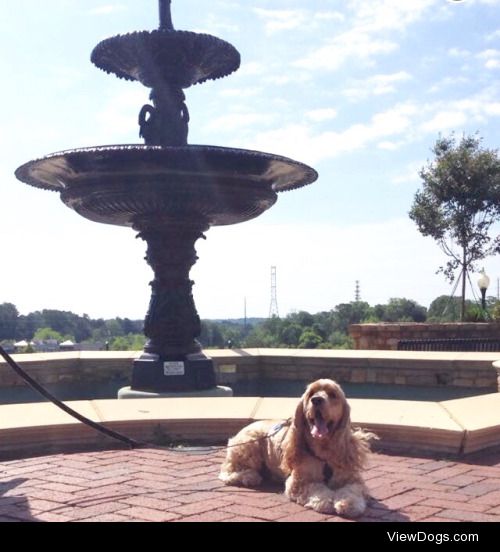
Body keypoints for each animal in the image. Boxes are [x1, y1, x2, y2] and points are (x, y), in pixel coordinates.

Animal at [219, 378, 376, 520]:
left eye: (333, 394)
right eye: (311, 394)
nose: (316, 400)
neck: (324, 452)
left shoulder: (352, 478)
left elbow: (353, 490)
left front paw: (349, 503)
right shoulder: (298, 481)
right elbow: (316, 487)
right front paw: (325, 500)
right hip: (249, 446)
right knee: (226, 471)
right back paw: (249, 476)